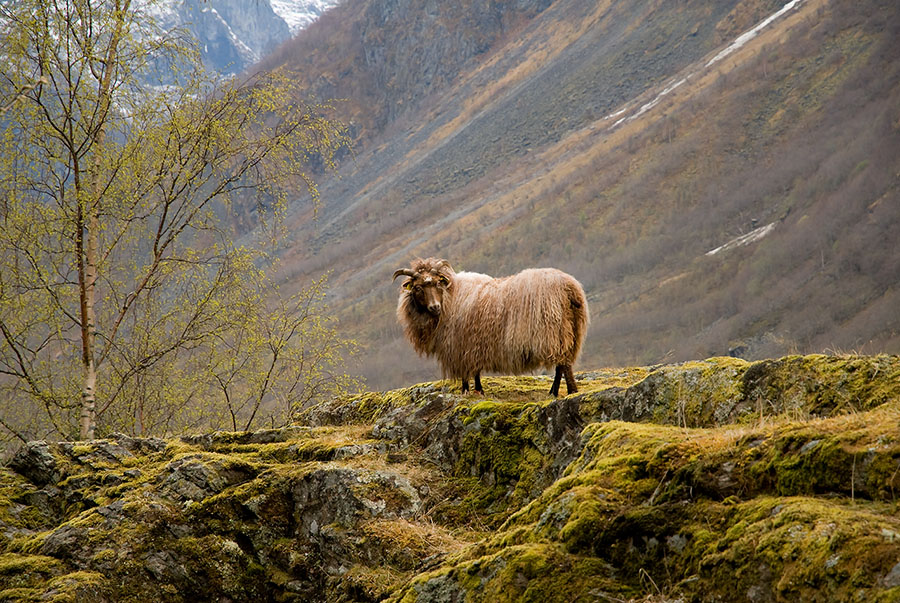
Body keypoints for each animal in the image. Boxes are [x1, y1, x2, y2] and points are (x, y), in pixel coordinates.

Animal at [392, 258, 592, 396]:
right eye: (418, 288)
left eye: (436, 283)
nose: (435, 307)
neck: (449, 296)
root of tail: (570, 288)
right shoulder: (473, 344)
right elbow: (476, 370)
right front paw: (479, 390)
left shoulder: (461, 345)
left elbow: (467, 372)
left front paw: (467, 390)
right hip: (573, 330)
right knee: (563, 365)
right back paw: (558, 391)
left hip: (555, 332)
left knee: (562, 364)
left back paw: (567, 391)